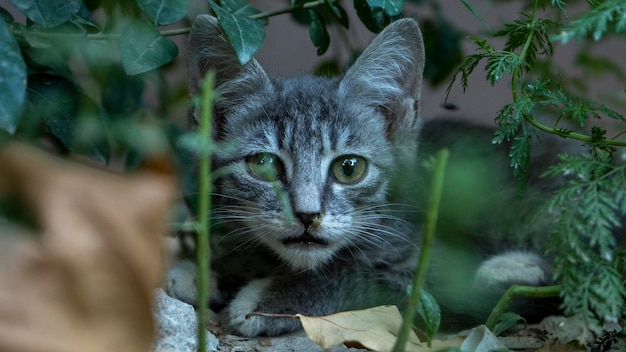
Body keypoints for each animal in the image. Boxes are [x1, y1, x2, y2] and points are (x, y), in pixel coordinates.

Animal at [165, 14, 560, 338]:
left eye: (349, 168)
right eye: (264, 164)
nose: (307, 215)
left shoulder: (436, 269)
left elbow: (362, 276)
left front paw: (270, 297)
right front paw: (212, 269)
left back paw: (513, 268)